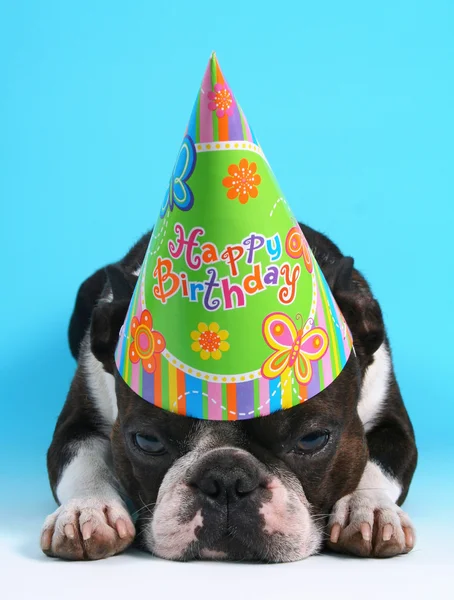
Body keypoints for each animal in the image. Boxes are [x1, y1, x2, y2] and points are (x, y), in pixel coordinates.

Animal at [40, 221, 416, 564]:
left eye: (313, 439)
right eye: (147, 441)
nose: (226, 479)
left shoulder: (393, 423)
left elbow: (379, 463)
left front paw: (369, 509)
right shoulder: (78, 421)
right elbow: (83, 460)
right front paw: (88, 511)